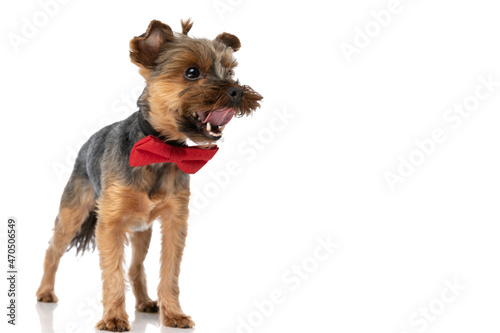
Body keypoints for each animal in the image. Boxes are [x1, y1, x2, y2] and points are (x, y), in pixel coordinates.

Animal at [36, 20, 262, 330]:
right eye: (192, 72)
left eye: (229, 72)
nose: (237, 91)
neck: (161, 149)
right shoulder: (110, 223)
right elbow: (112, 274)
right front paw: (113, 318)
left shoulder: (175, 220)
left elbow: (169, 272)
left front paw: (174, 313)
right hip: (74, 210)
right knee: (53, 250)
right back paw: (45, 292)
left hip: (142, 230)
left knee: (135, 267)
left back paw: (144, 302)